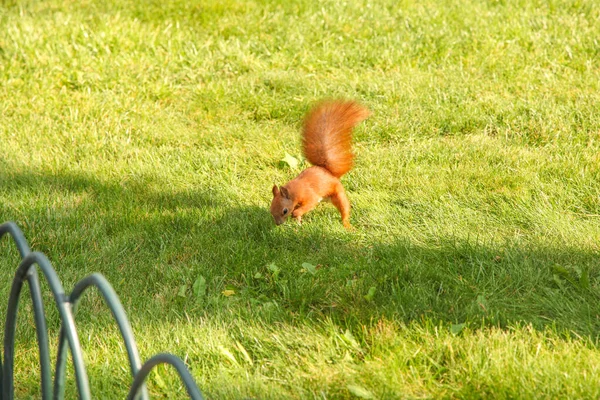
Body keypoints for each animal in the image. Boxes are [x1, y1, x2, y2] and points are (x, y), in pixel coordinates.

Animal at [270, 99, 370, 228]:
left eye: (284, 211)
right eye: (271, 210)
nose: (278, 224)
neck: (295, 191)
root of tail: (327, 170)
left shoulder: (310, 196)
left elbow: (309, 204)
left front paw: (296, 214)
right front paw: (298, 222)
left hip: (338, 194)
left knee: (344, 209)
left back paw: (347, 225)